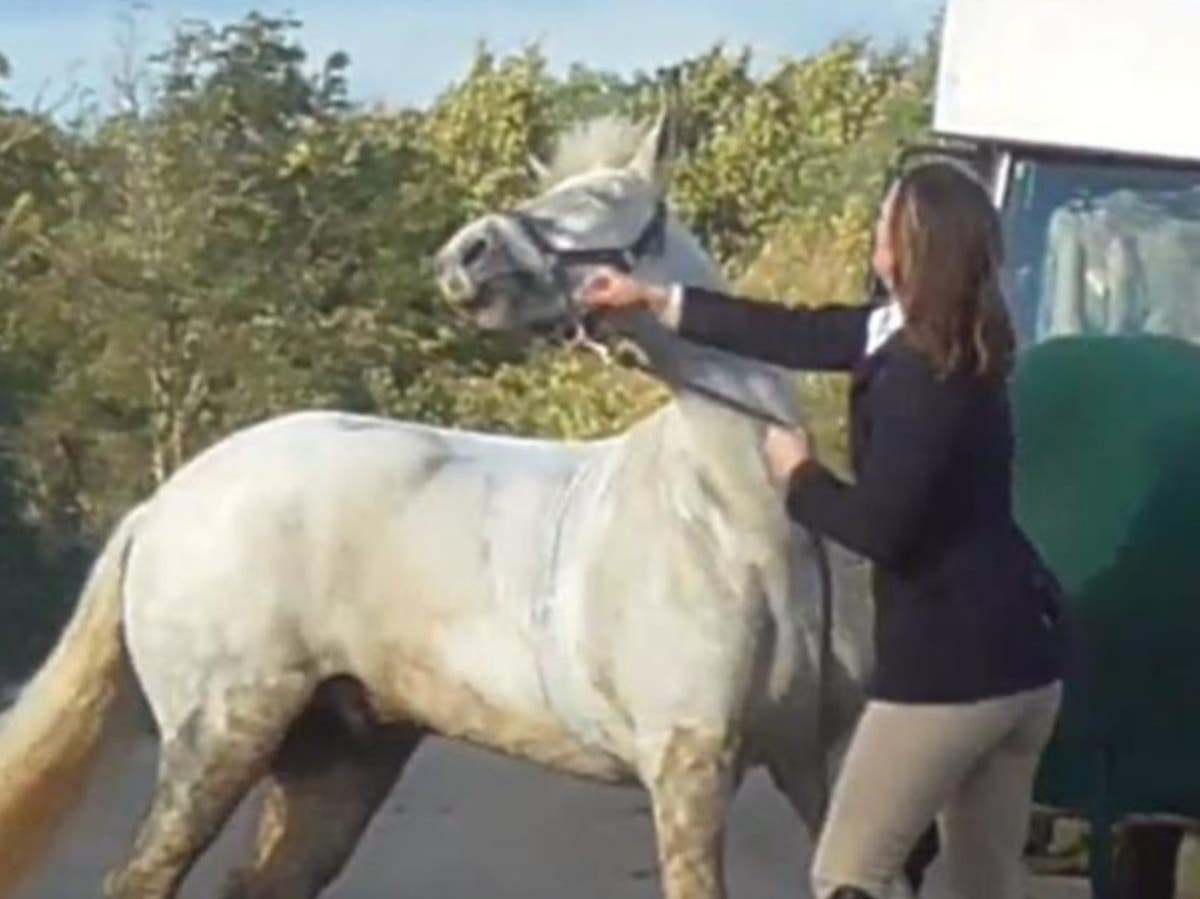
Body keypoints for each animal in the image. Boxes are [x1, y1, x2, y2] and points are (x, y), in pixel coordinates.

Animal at [0, 111, 929, 899]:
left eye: (600, 198)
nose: (463, 257)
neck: (738, 524)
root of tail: (160, 507)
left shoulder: (820, 762)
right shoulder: (688, 767)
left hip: (337, 761)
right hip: (218, 741)